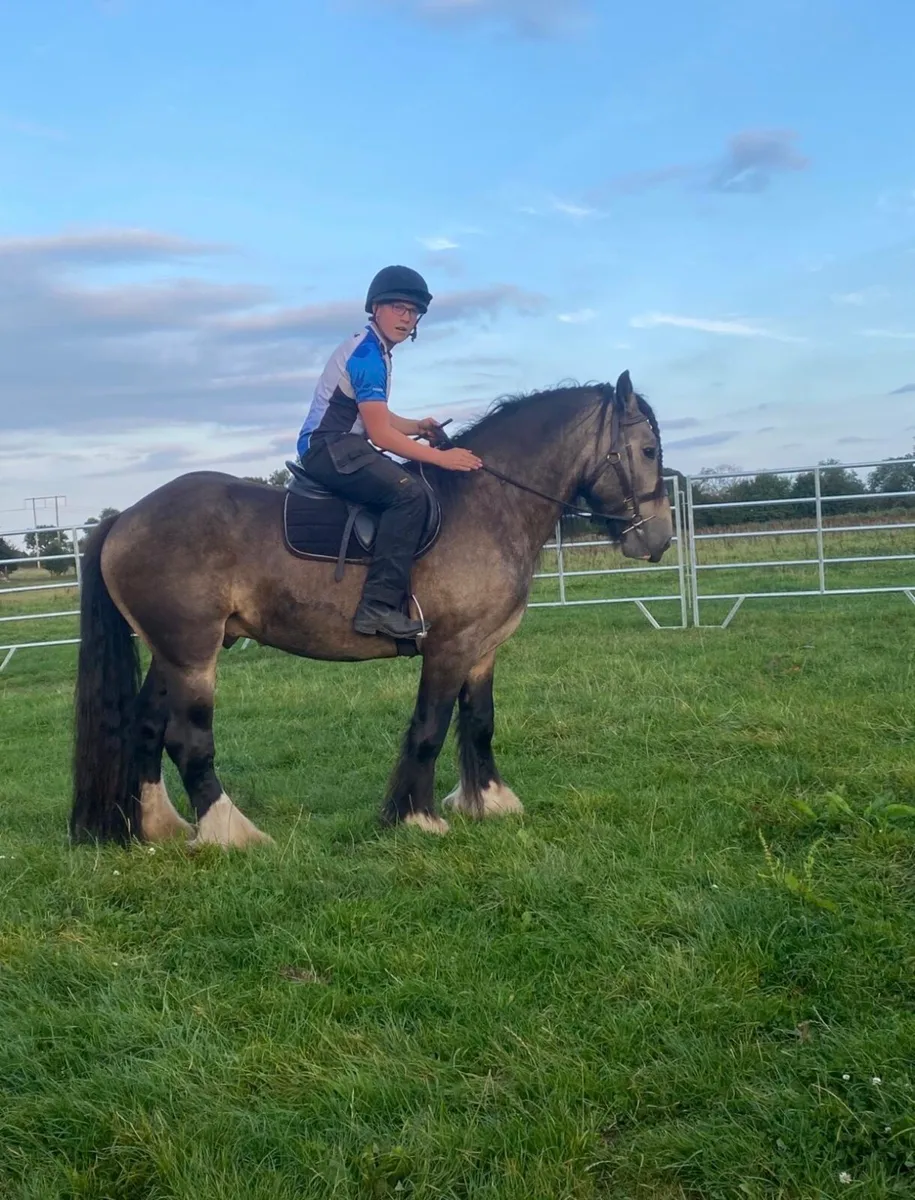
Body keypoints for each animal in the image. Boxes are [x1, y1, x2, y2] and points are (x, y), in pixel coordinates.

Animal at [69, 370, 673, 849]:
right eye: (648, 451)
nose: (659, 539)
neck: (485, 505)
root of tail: (125, 519)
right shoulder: (449, 647)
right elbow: (431, 726)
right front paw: (416, 818)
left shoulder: (482, 650)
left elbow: (479, 723)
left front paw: (489, 801)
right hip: (193, 656)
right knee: (188, 739)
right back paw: (230, 833)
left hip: (171, 653)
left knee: (147, 727)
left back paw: (160, 827)